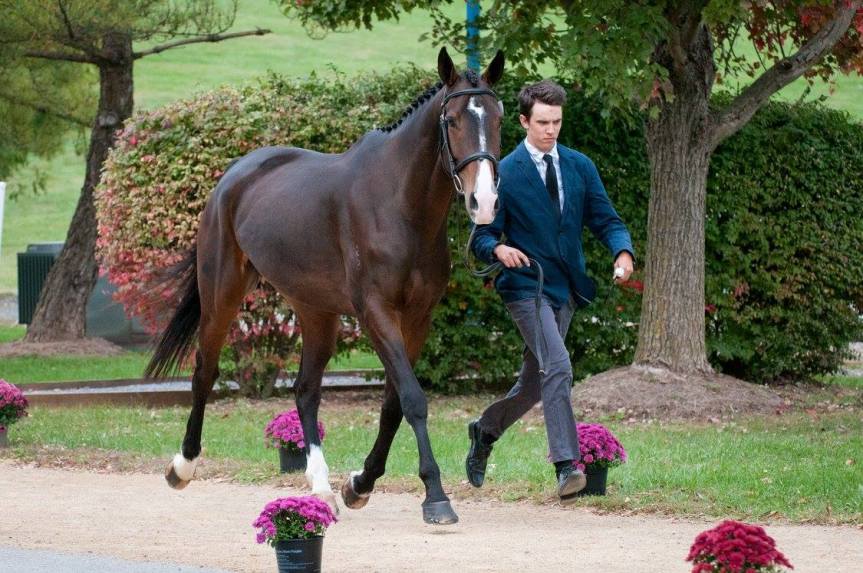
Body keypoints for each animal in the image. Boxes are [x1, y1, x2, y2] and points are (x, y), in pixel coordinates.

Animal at [145, 47, 505, 525]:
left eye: (499, 118)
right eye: (452, 120)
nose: (484, 202)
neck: (398, 204)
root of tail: (234, 174)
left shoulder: (417, 318)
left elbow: (393, 404)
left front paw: (360, 484)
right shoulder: (376, 314)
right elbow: (412, 399)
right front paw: (435, 497)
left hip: (316, 311)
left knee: (305, 390)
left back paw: (320, 485)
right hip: (222, 293)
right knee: (206, 369)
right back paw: (182, 465)